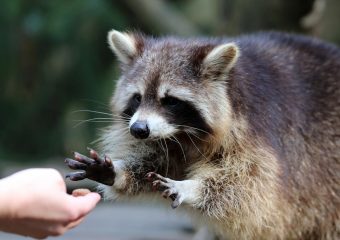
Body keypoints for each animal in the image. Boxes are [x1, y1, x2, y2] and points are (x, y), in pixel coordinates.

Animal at [65, 31, 340, 239]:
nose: (138, 130)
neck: (184, 134)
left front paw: (192, 187)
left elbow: (251, 185)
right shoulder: (167, 139)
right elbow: (155, 160)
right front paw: (117, 171)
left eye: (170, 101)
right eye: (137, 98)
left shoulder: (258, 130)